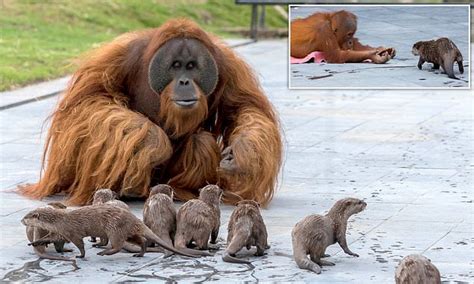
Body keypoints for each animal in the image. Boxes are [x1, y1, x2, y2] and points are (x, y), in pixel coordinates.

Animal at [21, 204, 200, 258]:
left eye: (27, 216)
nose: (21, 220)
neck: (59, 221)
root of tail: (133, 218)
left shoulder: (71, 232)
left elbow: (80, 244)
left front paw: (81, 255)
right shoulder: (60, 232)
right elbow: (48, 237)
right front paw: (34, 242)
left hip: (114, 229)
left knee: (118, 245)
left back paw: (104, 252)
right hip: (128, 232)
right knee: (140, 240)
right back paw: (140, 253)